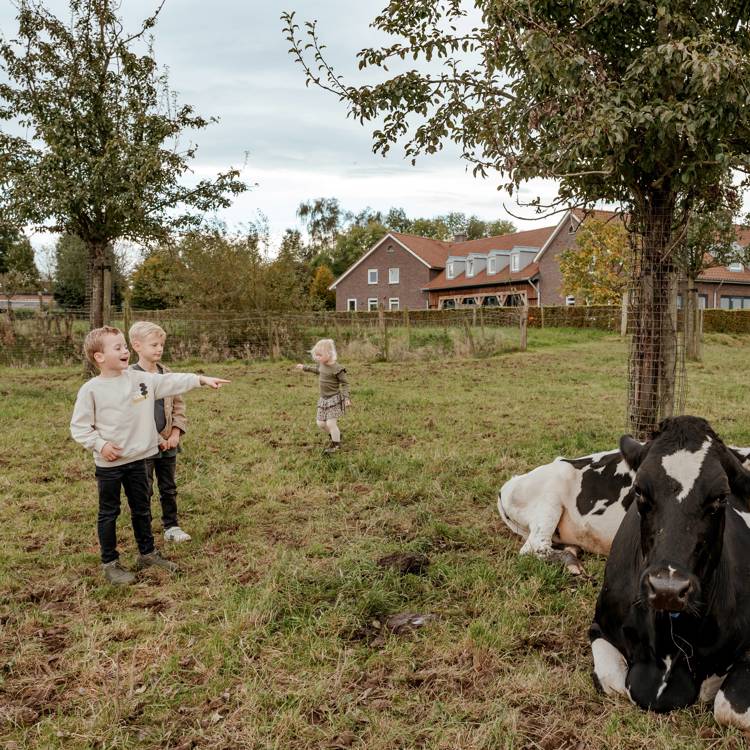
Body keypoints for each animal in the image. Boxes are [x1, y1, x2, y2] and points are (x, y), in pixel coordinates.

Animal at [592, 414, 750, 732]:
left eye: (721, 497)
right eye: (639, 491)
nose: (667, 589)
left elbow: (729, 708)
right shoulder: (599, 627)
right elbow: (614, 683)